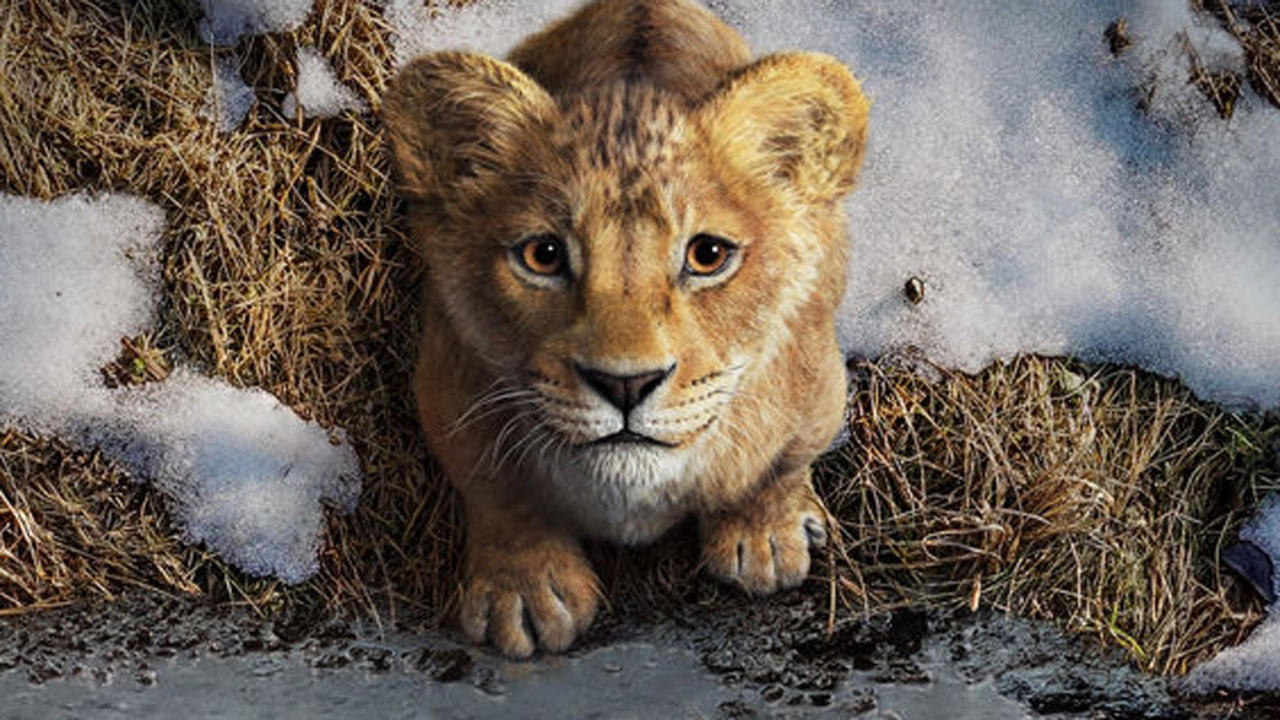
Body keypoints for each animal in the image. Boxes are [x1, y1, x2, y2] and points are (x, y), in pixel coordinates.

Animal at [384, 0, 869, 657]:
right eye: (542, 255)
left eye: (708, 255)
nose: (625, 385)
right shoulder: (447, 384)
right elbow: (498, 490)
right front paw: (525, 592)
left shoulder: (817, 384)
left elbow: (780, 462)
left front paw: (764, 535)